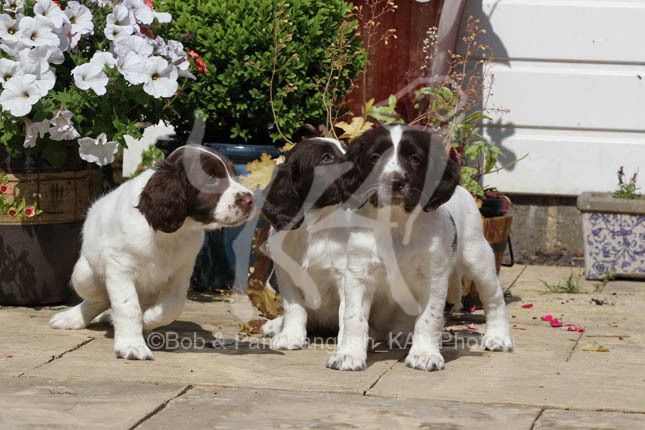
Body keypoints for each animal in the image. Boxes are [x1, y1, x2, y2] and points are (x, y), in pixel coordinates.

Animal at [50, 144, 254, 360]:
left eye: (233, 172)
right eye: (211, 179)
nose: (250, 199)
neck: (171, 234)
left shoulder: (181, 273)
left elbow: (173, 306)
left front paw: (147, 321)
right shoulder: (119, 267)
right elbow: (128, 306)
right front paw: (131, 345)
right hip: (84, 277)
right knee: (99, 298)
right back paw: (72, 317)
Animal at [260, 137, 351, 349]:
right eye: (326, 157)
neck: (315, 225)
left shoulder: (345, 274)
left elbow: (347, 311)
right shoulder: (285, 274)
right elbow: (293, 306)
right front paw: (290, 336)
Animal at [327, 124, 513, 371]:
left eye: (415, 158)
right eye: (374, 158)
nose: (395, 182)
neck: (396, 225)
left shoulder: (433, 278)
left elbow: (429, 318)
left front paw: (424, 354)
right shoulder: (359, 274)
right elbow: (353, 317)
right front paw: (349, 355)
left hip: (478, 257)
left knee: (494, 298)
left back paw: (498, 337)